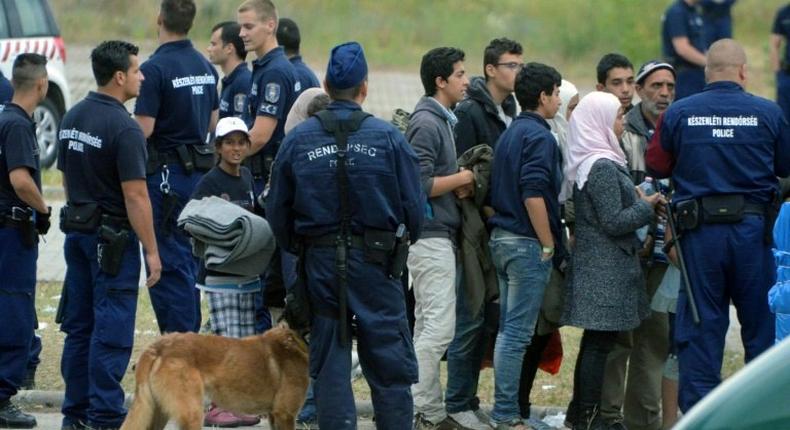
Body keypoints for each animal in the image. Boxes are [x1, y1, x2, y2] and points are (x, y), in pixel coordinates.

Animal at [120, 324, 310, 428]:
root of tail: (158, 346)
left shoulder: (274, 415)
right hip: (193, 414)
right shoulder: (285, 415)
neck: (294, 340)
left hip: (157, 412)